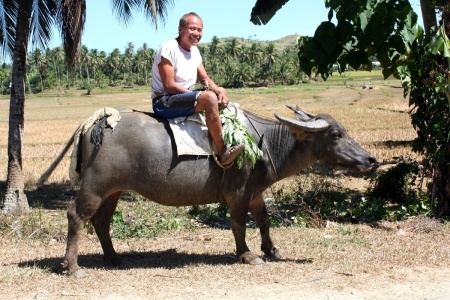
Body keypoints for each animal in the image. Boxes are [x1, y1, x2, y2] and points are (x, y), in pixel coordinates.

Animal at [39, 104, 376, 276]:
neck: (265, 143)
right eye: (335, 134)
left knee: (101, 221)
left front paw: (272, 249)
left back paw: (114, 258)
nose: (370, 160)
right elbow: (238, 224)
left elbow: (264, 220)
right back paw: (73, 267)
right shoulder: (238, 193)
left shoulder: (256, 192)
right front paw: (247, 255)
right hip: (96, 185)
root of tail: (94, 123)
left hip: (114, 190)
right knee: (76, 216)